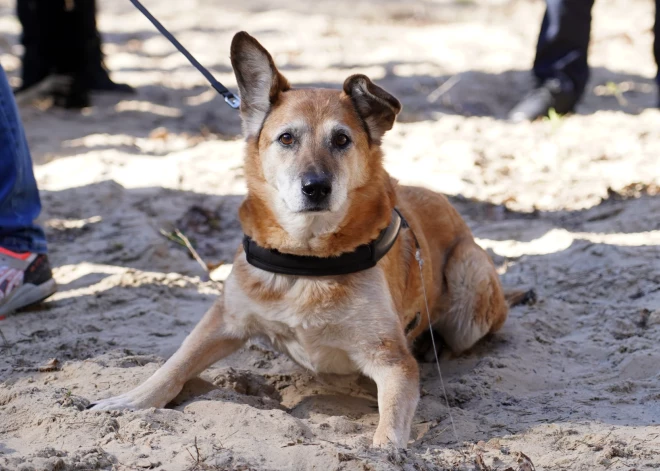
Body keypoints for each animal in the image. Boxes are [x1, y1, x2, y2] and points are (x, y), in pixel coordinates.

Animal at [90, 31, 516, 448]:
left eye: (341, 140)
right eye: (286, 139)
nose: (315, 188)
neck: (306, 259)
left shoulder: (392, 359)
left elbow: (391, 420)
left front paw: (384, 450)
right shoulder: (224, 319)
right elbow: (175, 364)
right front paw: (131, 400)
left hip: (468, 284)